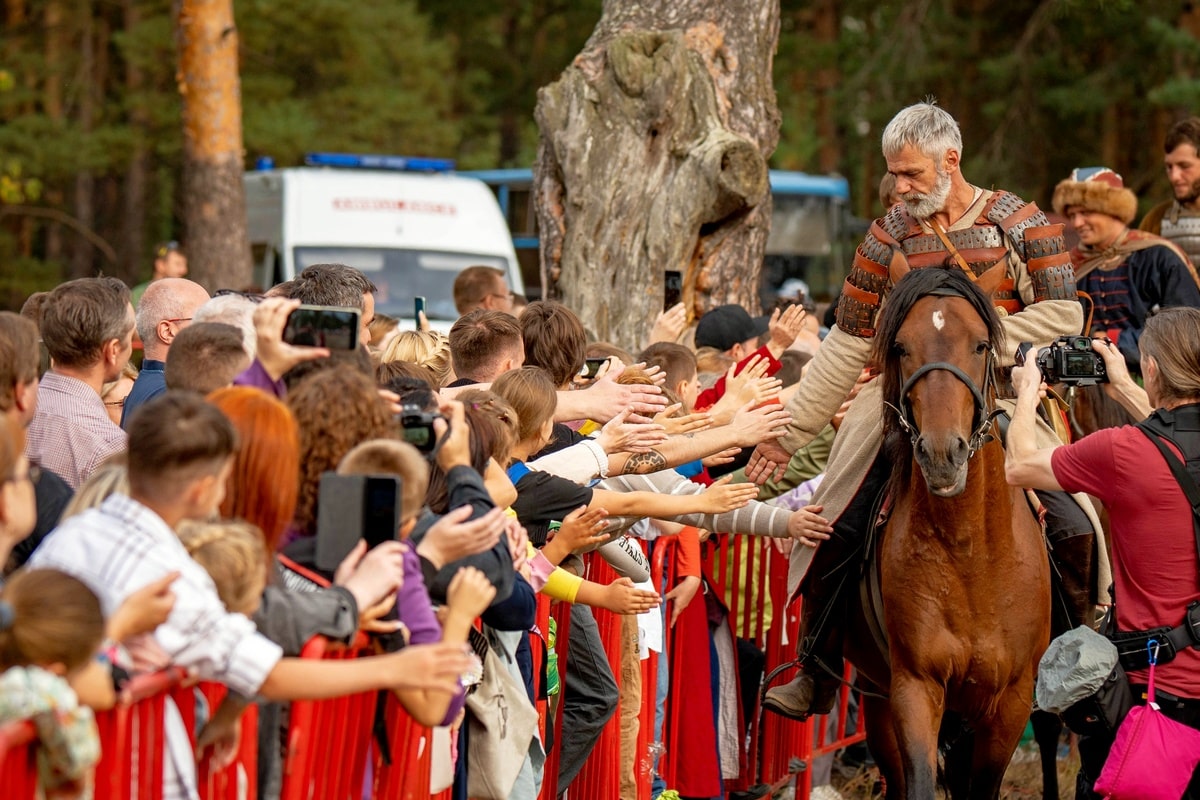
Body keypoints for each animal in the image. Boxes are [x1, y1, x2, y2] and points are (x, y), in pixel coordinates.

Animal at [844, 266, 1051, 796]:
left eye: (980, 345)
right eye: (900, 347)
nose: (942, 455)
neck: (970, 551)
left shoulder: (1012, 700)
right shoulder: (914, 686)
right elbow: (918, 780)